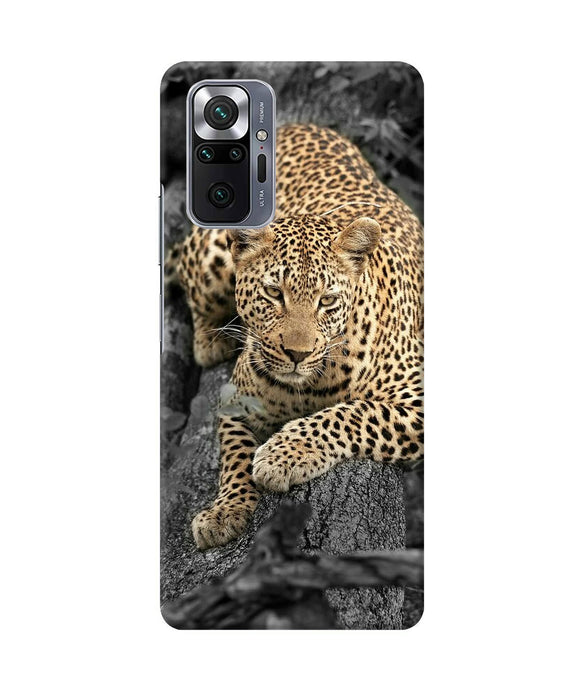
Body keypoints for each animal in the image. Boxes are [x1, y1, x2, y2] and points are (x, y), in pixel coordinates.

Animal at [173, 123, 424, 550]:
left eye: (327, 300)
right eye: (275, 293)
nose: (296, 354)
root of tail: (295, 125)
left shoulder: (417, 396)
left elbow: (353, 413)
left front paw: (283, 454)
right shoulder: (235, 401)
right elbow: (234, 456)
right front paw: (225, 511)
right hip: (212, 258)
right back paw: (211, 341)